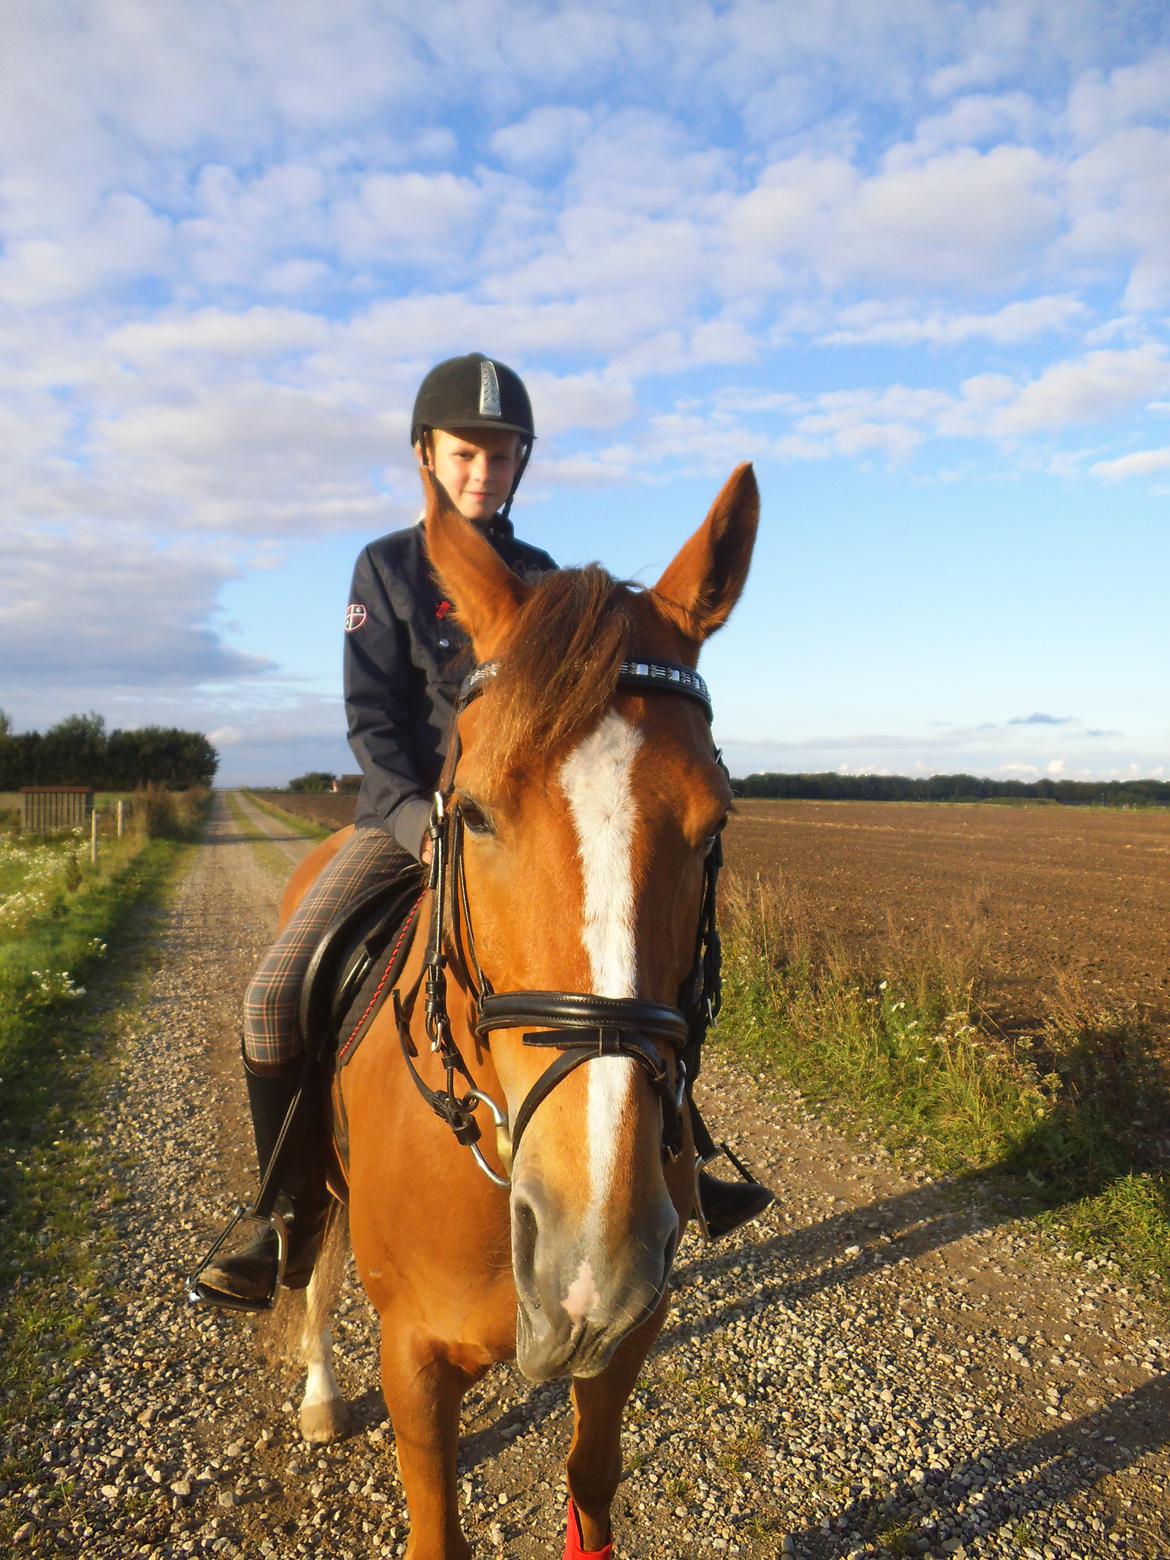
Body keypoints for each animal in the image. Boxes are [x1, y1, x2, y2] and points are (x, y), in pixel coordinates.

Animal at [283, 461, 761, 1560]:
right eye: (473, 813)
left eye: (715, 823)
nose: (591, 1249)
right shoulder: (413, 1361)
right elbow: (435, 1526)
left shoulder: (625, 1345)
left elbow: (592, 1486)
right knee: (315, 1263)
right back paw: (321, 1394)